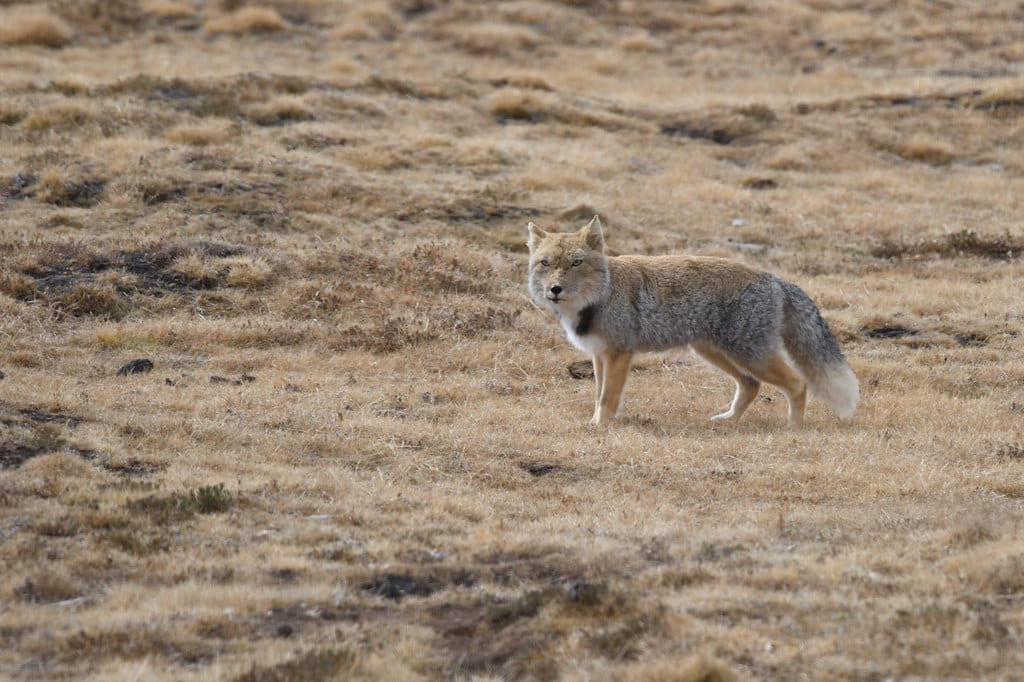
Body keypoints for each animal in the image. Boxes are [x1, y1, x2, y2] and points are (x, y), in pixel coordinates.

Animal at [526, 215, 858, 428]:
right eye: (545, 263)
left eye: (576, 263)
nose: (555, 289)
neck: (599, 297)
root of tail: (772, 277)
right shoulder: (599, 355)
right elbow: (598, 395)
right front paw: (598, 422)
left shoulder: (620, 353)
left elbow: (607, 397)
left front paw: (600, 426)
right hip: (716, 353)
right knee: (751, 385)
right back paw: (729, 420)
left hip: (751, 355)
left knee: (797, 383)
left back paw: (794, 428)